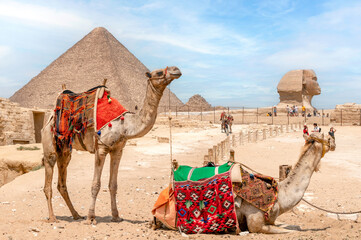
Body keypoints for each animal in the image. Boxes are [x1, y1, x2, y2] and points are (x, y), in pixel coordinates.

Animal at [42, 65, 181, 223]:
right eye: (158, 72)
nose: (176, 70)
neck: (125, 125)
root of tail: (50, 117)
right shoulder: (101, 148)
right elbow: (96, 184)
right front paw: (91, 217)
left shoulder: (117, 150)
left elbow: (113, 185)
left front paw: (116, 216)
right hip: (50, 145)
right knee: (48, 181)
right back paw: (53, 217)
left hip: (65, 151)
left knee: (62, 183)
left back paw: (76, 215)